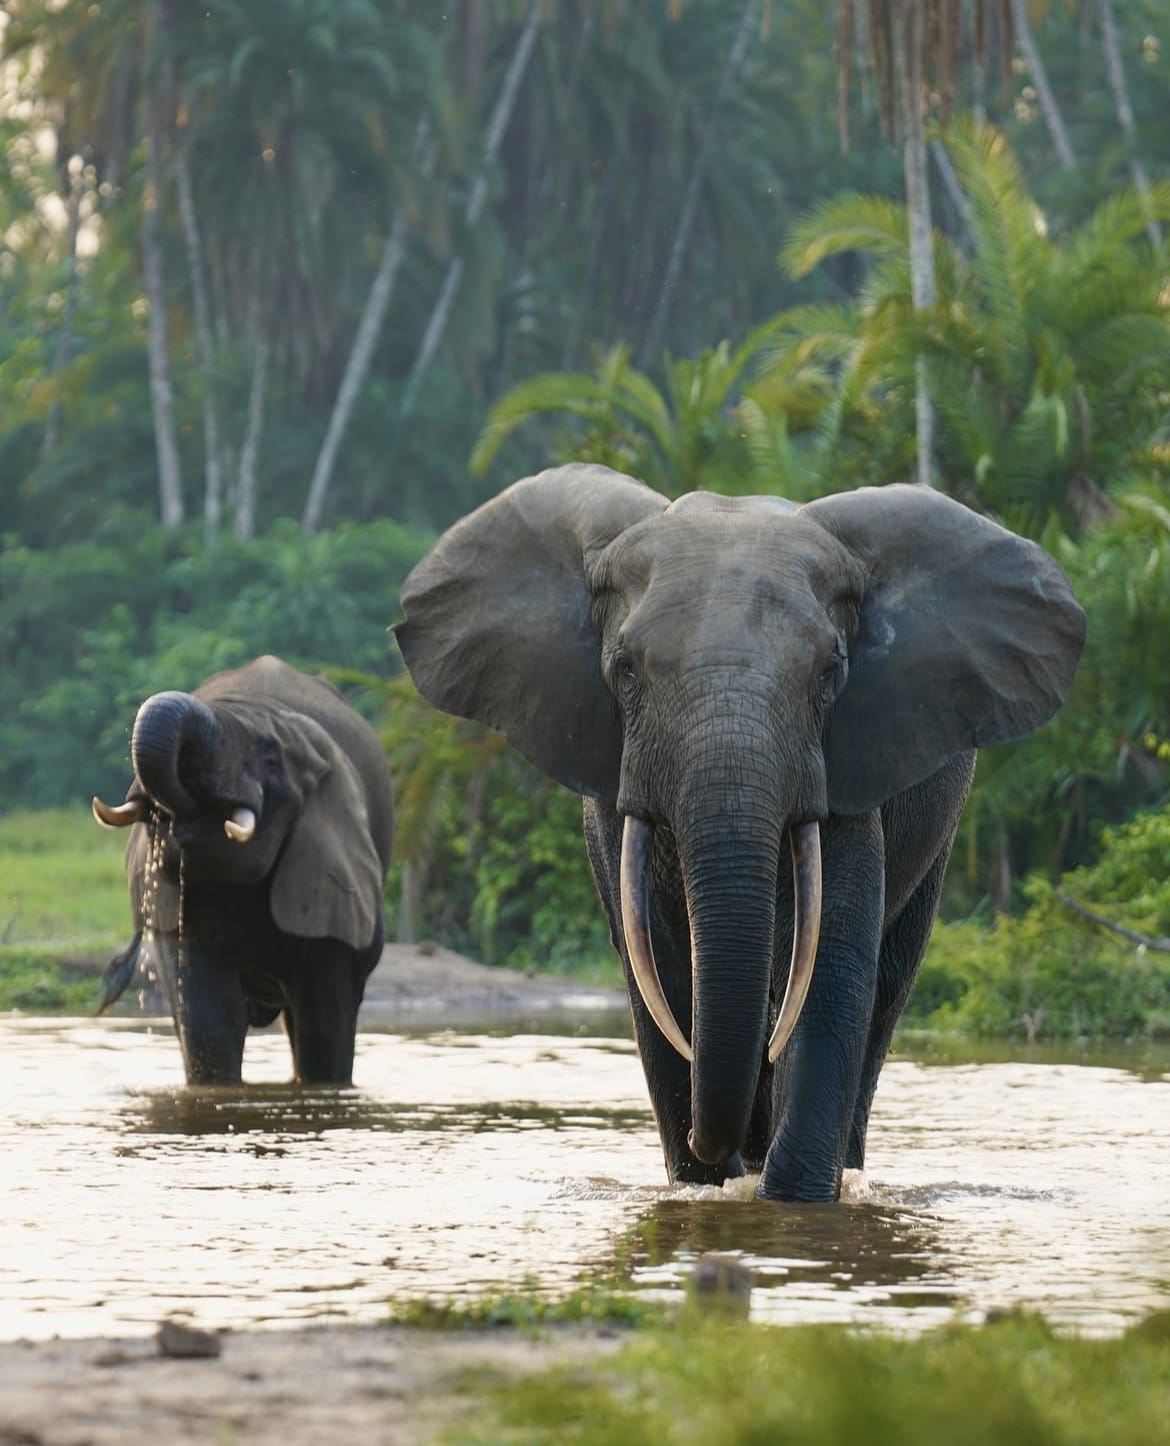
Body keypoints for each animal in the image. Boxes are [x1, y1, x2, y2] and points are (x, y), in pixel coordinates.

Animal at [396, 468, 1087, 1203]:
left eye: (829, 674)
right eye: (625, 670)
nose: (715, 1145)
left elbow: (829, 967)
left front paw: (789, 1203)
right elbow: (659, 973)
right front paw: (703, 1189)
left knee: (884, 990)